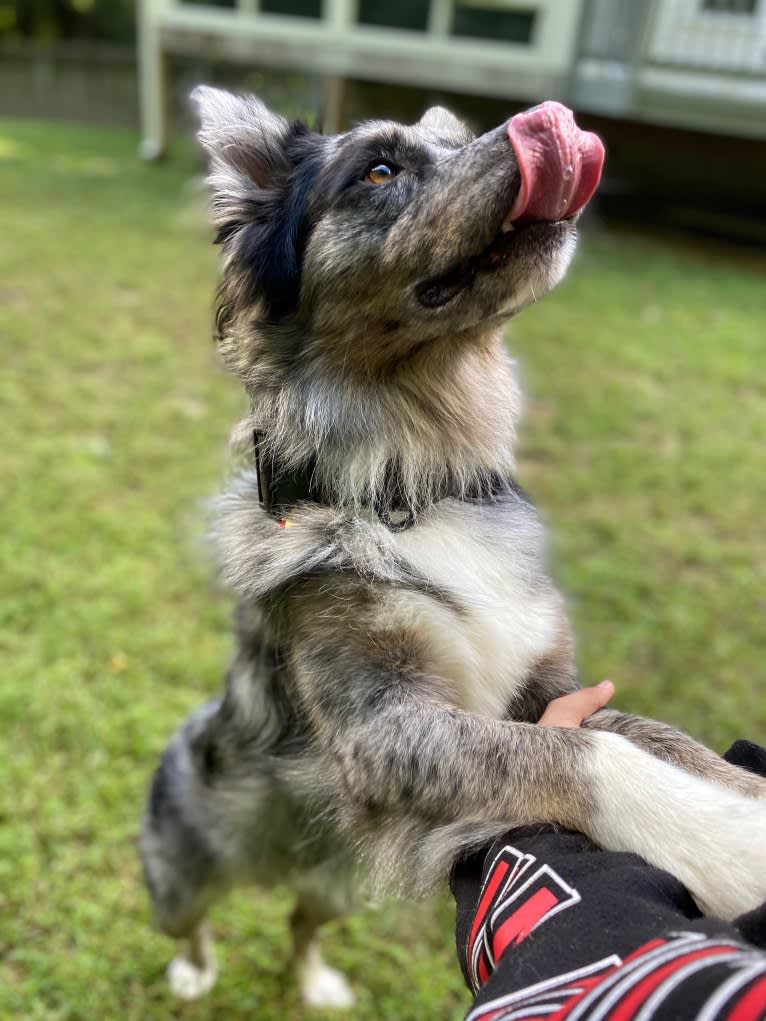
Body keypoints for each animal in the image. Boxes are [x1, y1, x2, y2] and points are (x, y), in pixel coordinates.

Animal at [140, 91, 766, 1008]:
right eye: (378, 170)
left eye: (456, 138)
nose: (548, 122)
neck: (410, 482)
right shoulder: (384, 725)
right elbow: (585, 753)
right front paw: (739, 843)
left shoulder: (547, 684)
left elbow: (647, 728)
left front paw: (747, 790)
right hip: (181, 872)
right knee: (197, 923)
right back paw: (193, 970)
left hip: (333, 883)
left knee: (301, 926)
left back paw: (317, 982)